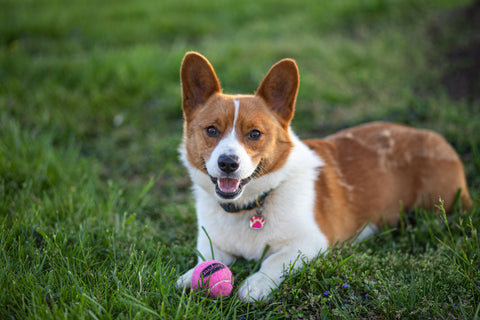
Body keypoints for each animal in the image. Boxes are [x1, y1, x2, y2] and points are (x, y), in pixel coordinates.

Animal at [174, 51, 470, 302]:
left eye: (255, 134)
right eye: (211, 130)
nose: (227, 163)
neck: (250, 205)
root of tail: (434, 137)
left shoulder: (311, 242)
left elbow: (273, 260)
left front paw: (256, 284)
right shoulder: (212, 241)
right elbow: (206, 257)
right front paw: (190, 276)